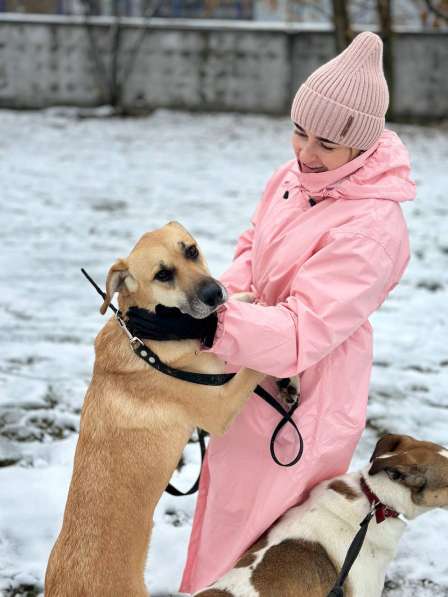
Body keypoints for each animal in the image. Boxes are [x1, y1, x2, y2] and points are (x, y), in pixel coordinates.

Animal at [44, 222, 264, 596]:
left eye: (191, 250)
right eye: (163, 274)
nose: (214, 293)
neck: (146, 340)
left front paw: (244, 299)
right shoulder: (221, 405)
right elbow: (254, 368)